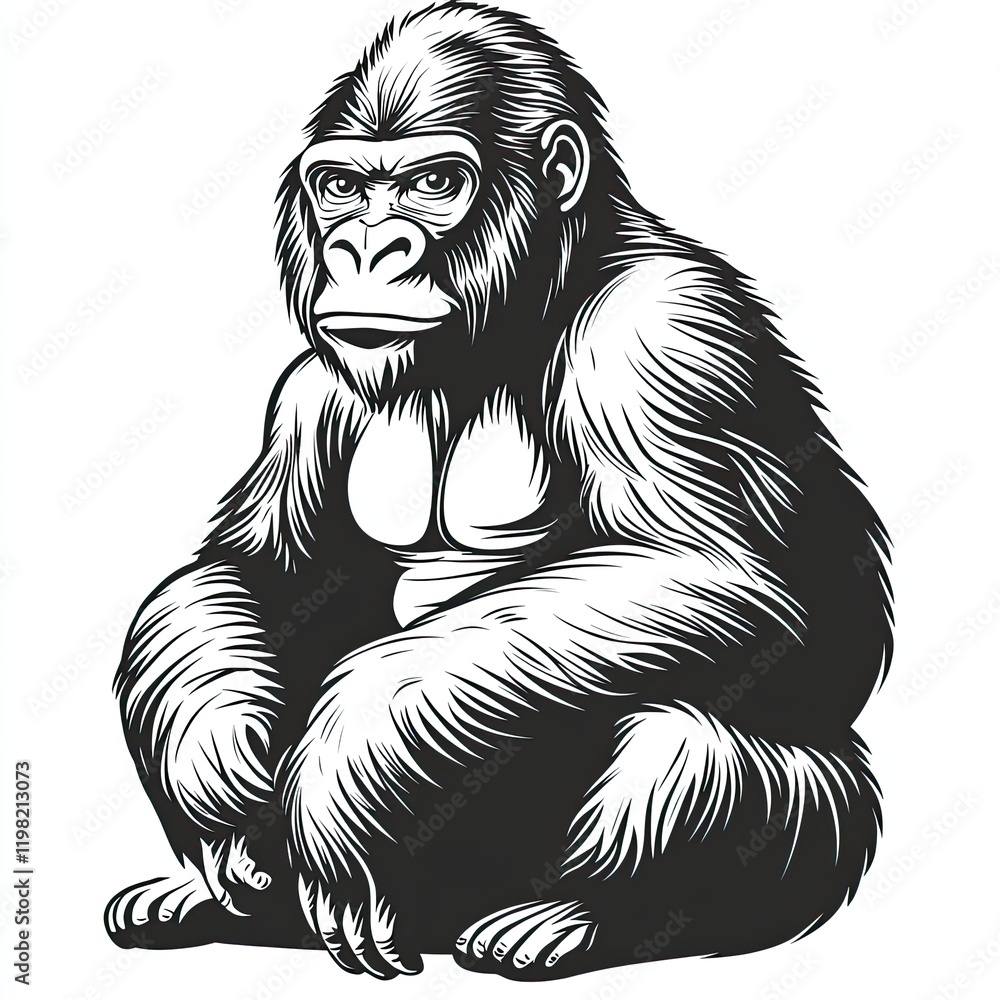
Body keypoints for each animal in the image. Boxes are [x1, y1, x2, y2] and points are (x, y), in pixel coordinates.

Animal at [105, 1, 892, 981]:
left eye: (434, 183)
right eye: (342, 187)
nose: (365, 247)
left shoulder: (661, 332)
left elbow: (709, 572)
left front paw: (343, 762)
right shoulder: (307, 394)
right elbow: (254, 570)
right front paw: (211, 759)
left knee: (678, 745)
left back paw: (573, 914)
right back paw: (210, 895)